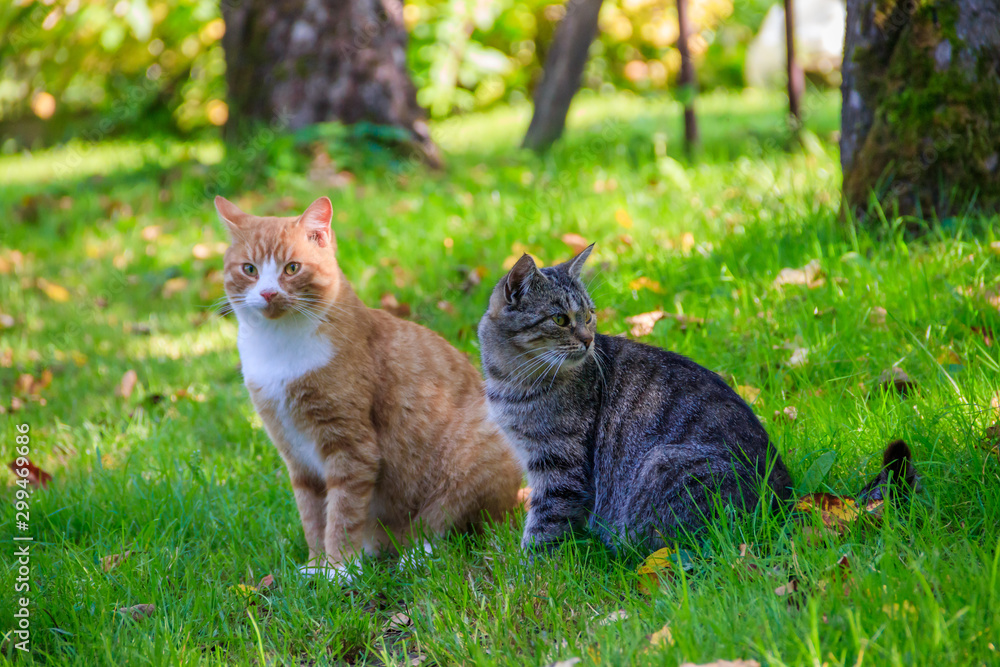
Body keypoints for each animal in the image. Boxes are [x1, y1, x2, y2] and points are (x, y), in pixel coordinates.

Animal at [215, 194, 520, 580]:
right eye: (250, 269)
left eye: (292, 268)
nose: (268, 293)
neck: (278, 348)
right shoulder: (295, 452)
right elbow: (313, 514)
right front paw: (316, 565)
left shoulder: (350, 446)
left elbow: (343, 512)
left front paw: (338, 568)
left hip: (479, 453)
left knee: (453, 530)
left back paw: (412, 556)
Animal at [480, 245, 792, 552]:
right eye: (560, 319)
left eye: (589, 315)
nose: (588, 340)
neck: (509, 381)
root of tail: (782, 505)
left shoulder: (559, 465)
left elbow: (544, 528)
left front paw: (531, 565)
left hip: (661, 465)